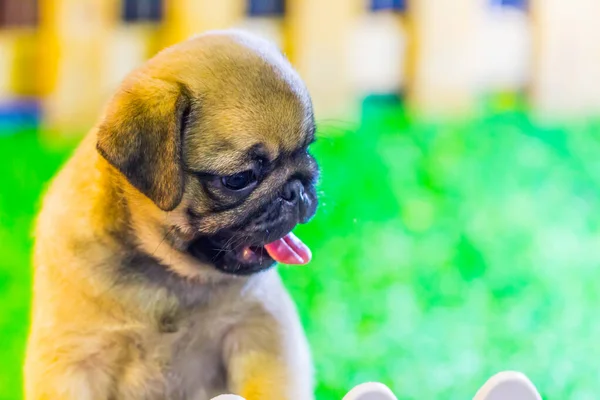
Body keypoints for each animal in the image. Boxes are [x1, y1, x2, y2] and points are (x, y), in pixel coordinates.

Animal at [24, 28, 318, 400]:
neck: (166, 276)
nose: (298, 188)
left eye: (307, 150)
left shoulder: (260, 330)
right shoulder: (74, 361)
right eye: (239, 179)